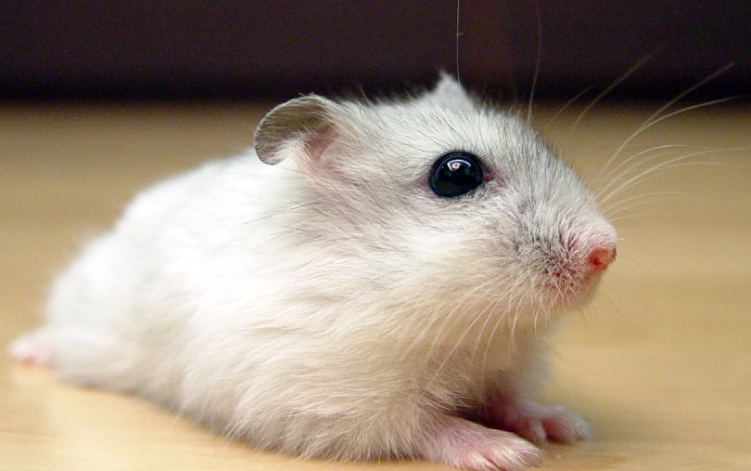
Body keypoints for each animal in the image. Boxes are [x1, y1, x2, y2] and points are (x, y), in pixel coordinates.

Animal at [10, 74, 617, 471]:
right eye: (456, 174)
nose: (607, 250)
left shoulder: (508, 363)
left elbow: (511, 399)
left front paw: (564, 427)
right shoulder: (330, 398)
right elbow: (425, 424)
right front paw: (508, 453)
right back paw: (26, 351)